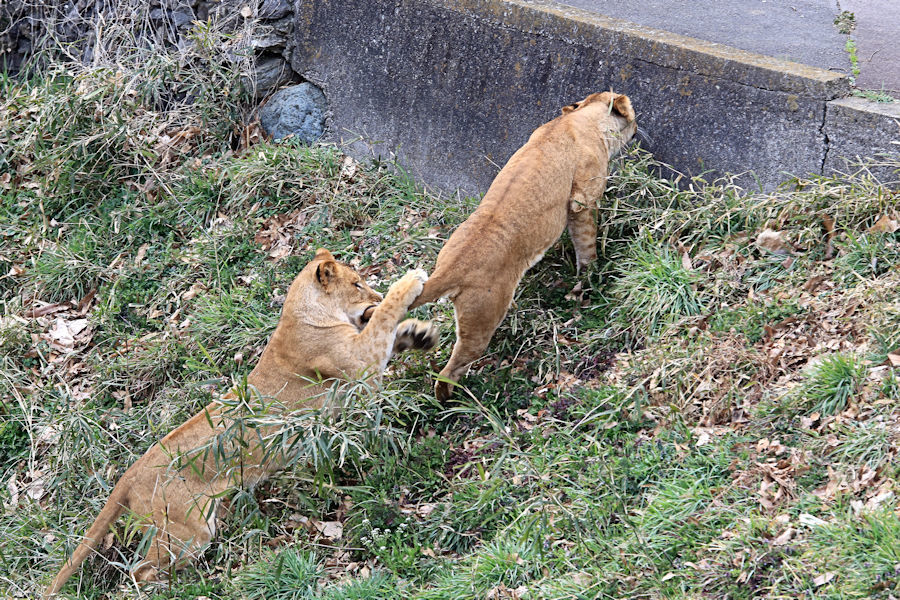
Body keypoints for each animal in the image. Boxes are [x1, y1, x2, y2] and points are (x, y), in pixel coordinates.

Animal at [44, 248, 438, 596]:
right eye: (357, 284)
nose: (372, 292)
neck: (304, 313)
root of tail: (129, 474)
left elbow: (390, 331)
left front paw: (419, 334)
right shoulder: (359, 364)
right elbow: (384, 316)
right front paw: (410, 280)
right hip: (187, 531)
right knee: (140, 572)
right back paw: (189, 587)